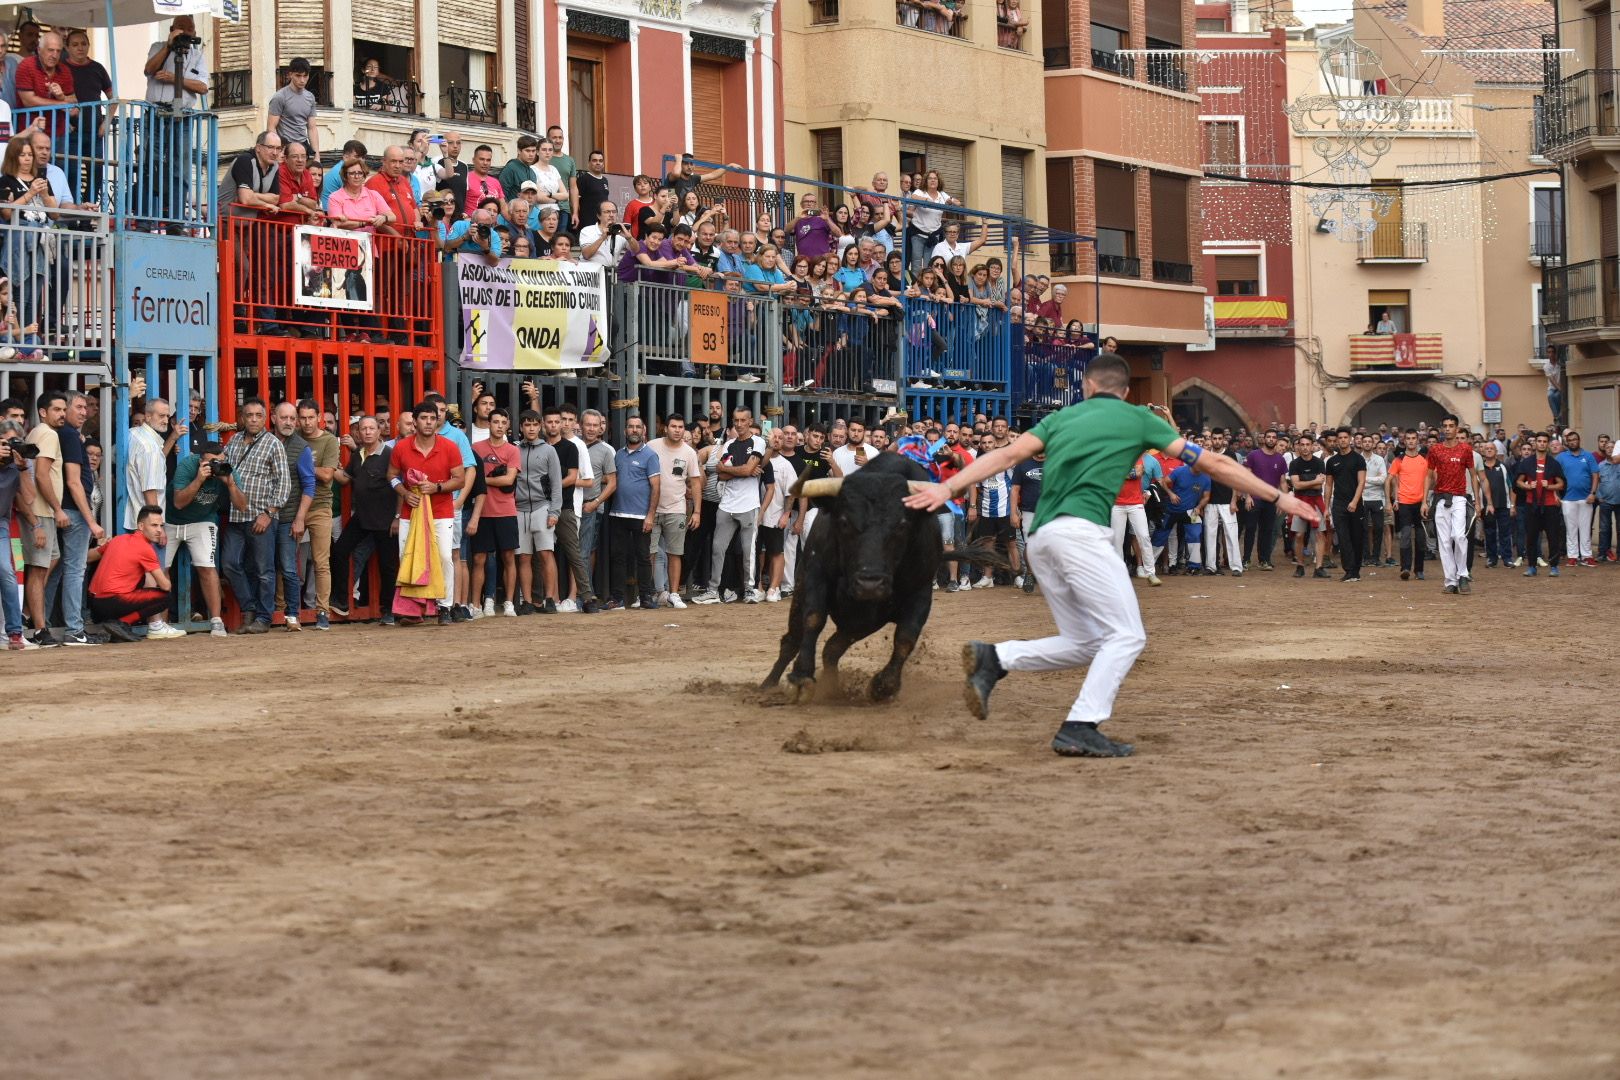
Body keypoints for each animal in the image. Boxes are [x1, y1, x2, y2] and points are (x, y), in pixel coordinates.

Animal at [761, 453, 1010, 705]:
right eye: (844, 522)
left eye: (902, 526)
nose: (869, 584)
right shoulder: (816, 575)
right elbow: (814, 618)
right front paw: (801, 677)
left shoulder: (920, 594)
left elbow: (906, 637)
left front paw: (884, 686)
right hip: (805, 592)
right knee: (792, 641)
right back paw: (769, 685)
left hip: (861, 623)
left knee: (831, 649)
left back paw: (833, 688)